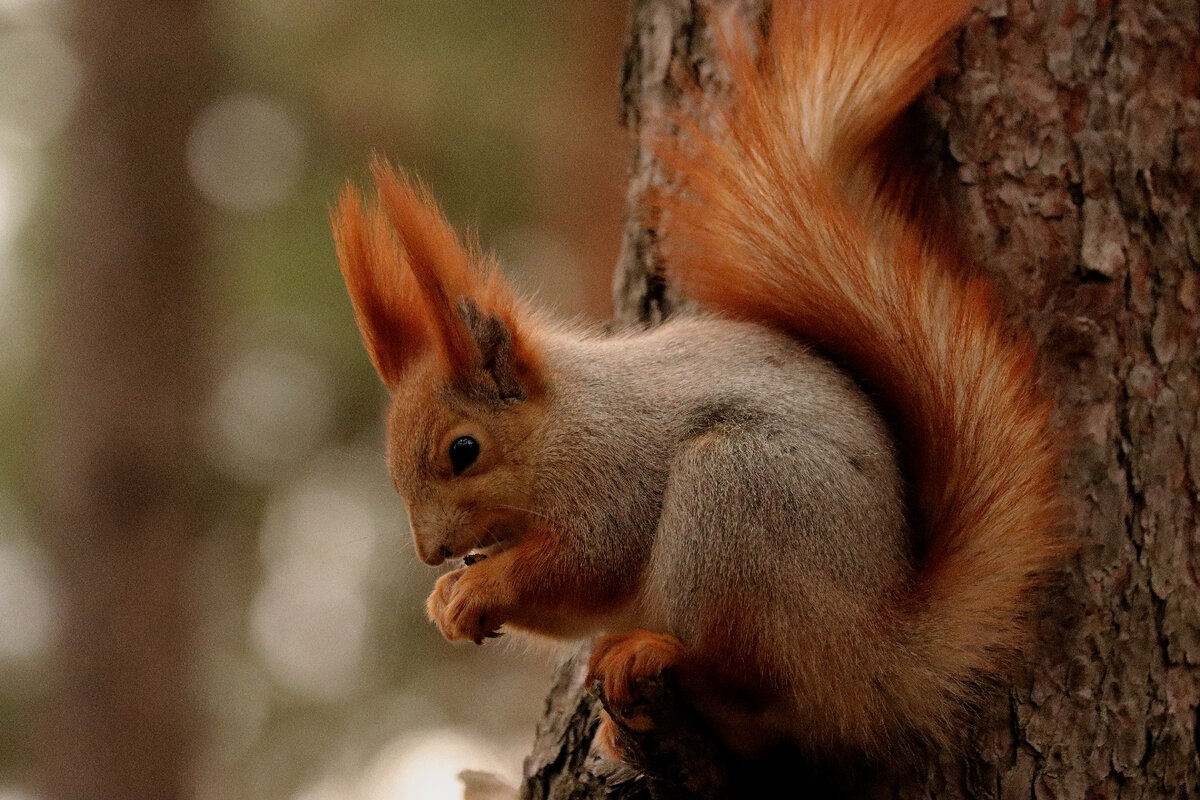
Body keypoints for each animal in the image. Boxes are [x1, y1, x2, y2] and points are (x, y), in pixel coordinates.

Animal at [333, 0, 1065, 762]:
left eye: (464, 450)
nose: (431, 554)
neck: (563, 425)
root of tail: (874, 658)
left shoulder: (616, 477)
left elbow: (586, 563)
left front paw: (478, 587)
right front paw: (447, 602)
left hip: (738, 496)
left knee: (756, 691)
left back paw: (660, 657)